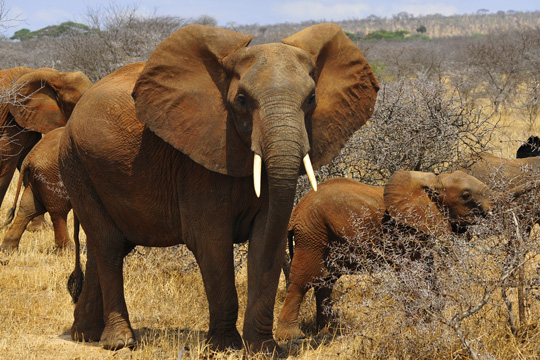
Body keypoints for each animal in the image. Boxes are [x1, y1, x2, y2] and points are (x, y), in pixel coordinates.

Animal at [59, 23, 380, 352]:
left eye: (312, 98)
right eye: (241, 100)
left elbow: (266, 236)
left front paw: (263, 349)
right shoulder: (197, 162)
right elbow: (211, 241)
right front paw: (227, 346)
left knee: (104, 246)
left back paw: (84, 335)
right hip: (76, 164)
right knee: (109, 245)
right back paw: (119, 342)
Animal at [276, 170, 528, 338]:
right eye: (466, 196)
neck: (433, 182)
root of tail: (296, 212)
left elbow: (427, 269)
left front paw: (433, 318)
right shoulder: (403, 230)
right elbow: (410, 274)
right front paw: (416, 328)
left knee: (325, 282)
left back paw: (330, 331)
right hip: (312, 235)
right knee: (303, 281)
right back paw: (292, 338)